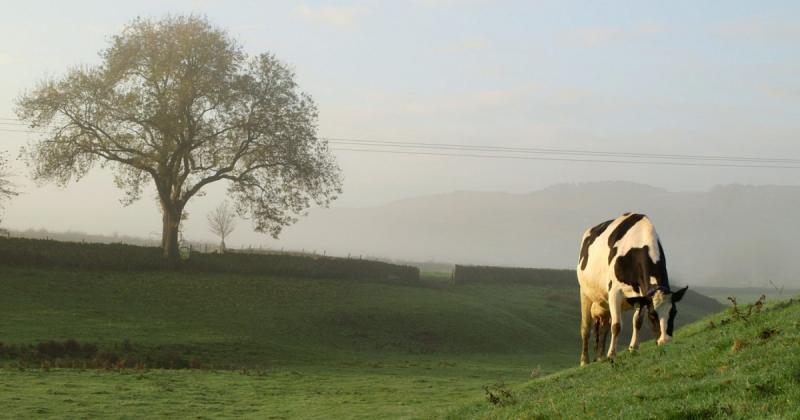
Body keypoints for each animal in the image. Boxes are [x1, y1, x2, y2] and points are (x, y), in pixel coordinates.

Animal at [576, 213, 688, 364]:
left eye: (674, 312)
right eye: (652, 315)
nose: (665, 341)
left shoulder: (641, 295)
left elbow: (637, 322)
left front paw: (633, 348)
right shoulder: (614, 292)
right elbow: (616, 325)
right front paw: (612, 354)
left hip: (603, 303)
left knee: (603, 327)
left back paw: (600, 356)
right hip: (585, 293)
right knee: (586, 328)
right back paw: (585, 360)